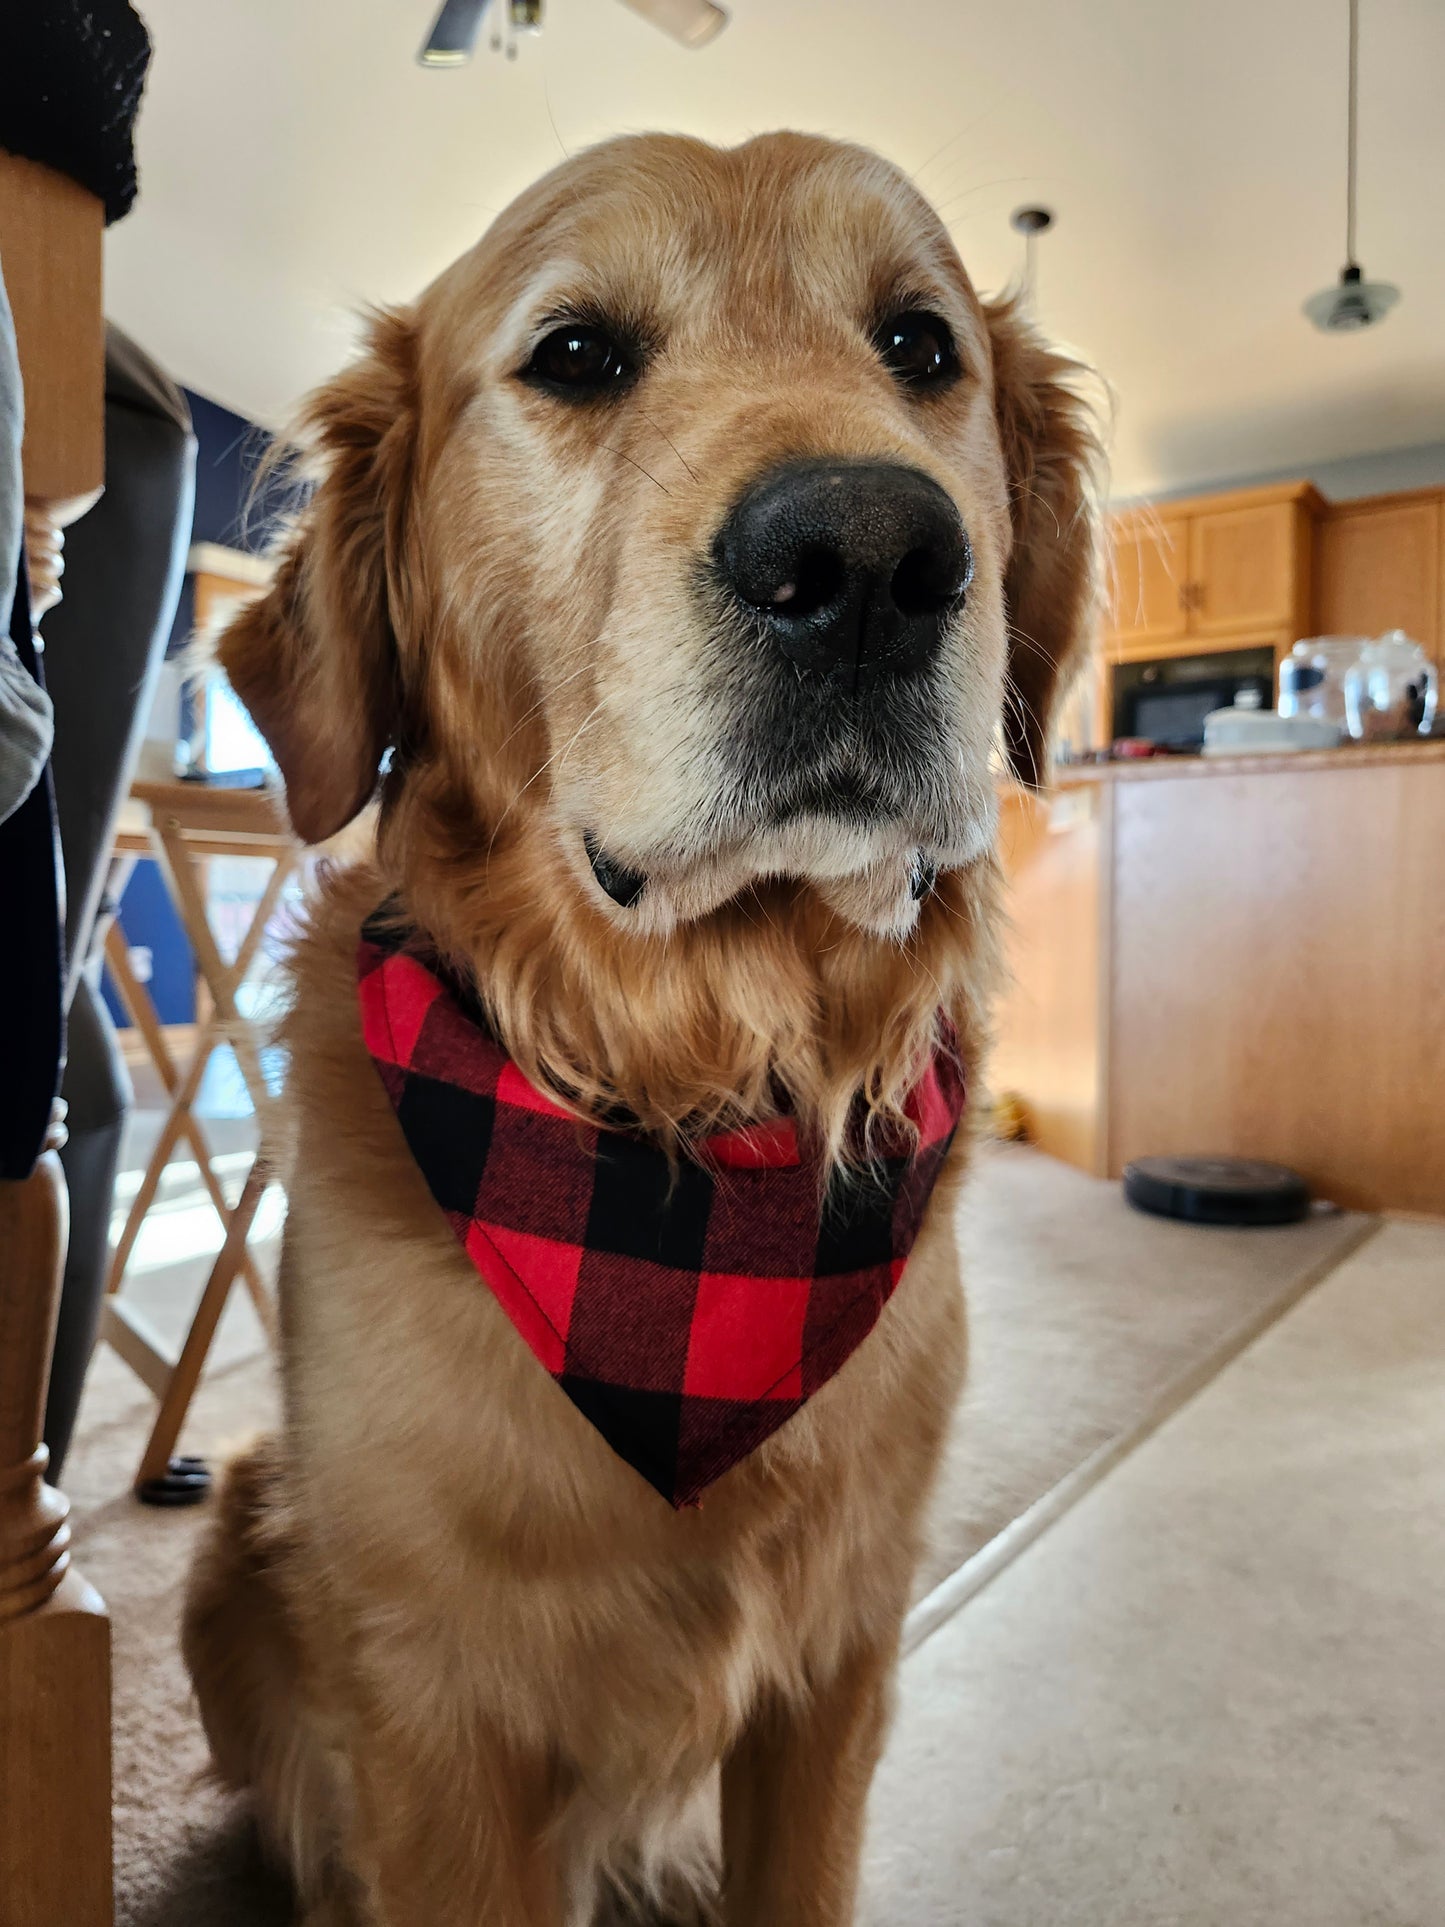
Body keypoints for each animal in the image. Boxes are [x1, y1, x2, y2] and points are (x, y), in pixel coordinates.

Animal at [181, 131, 1094, 1927]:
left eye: (921, 346)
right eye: (578, 354)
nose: (871, 558)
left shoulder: (837, 1663)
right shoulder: (433, 1711)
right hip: (239, 1523)